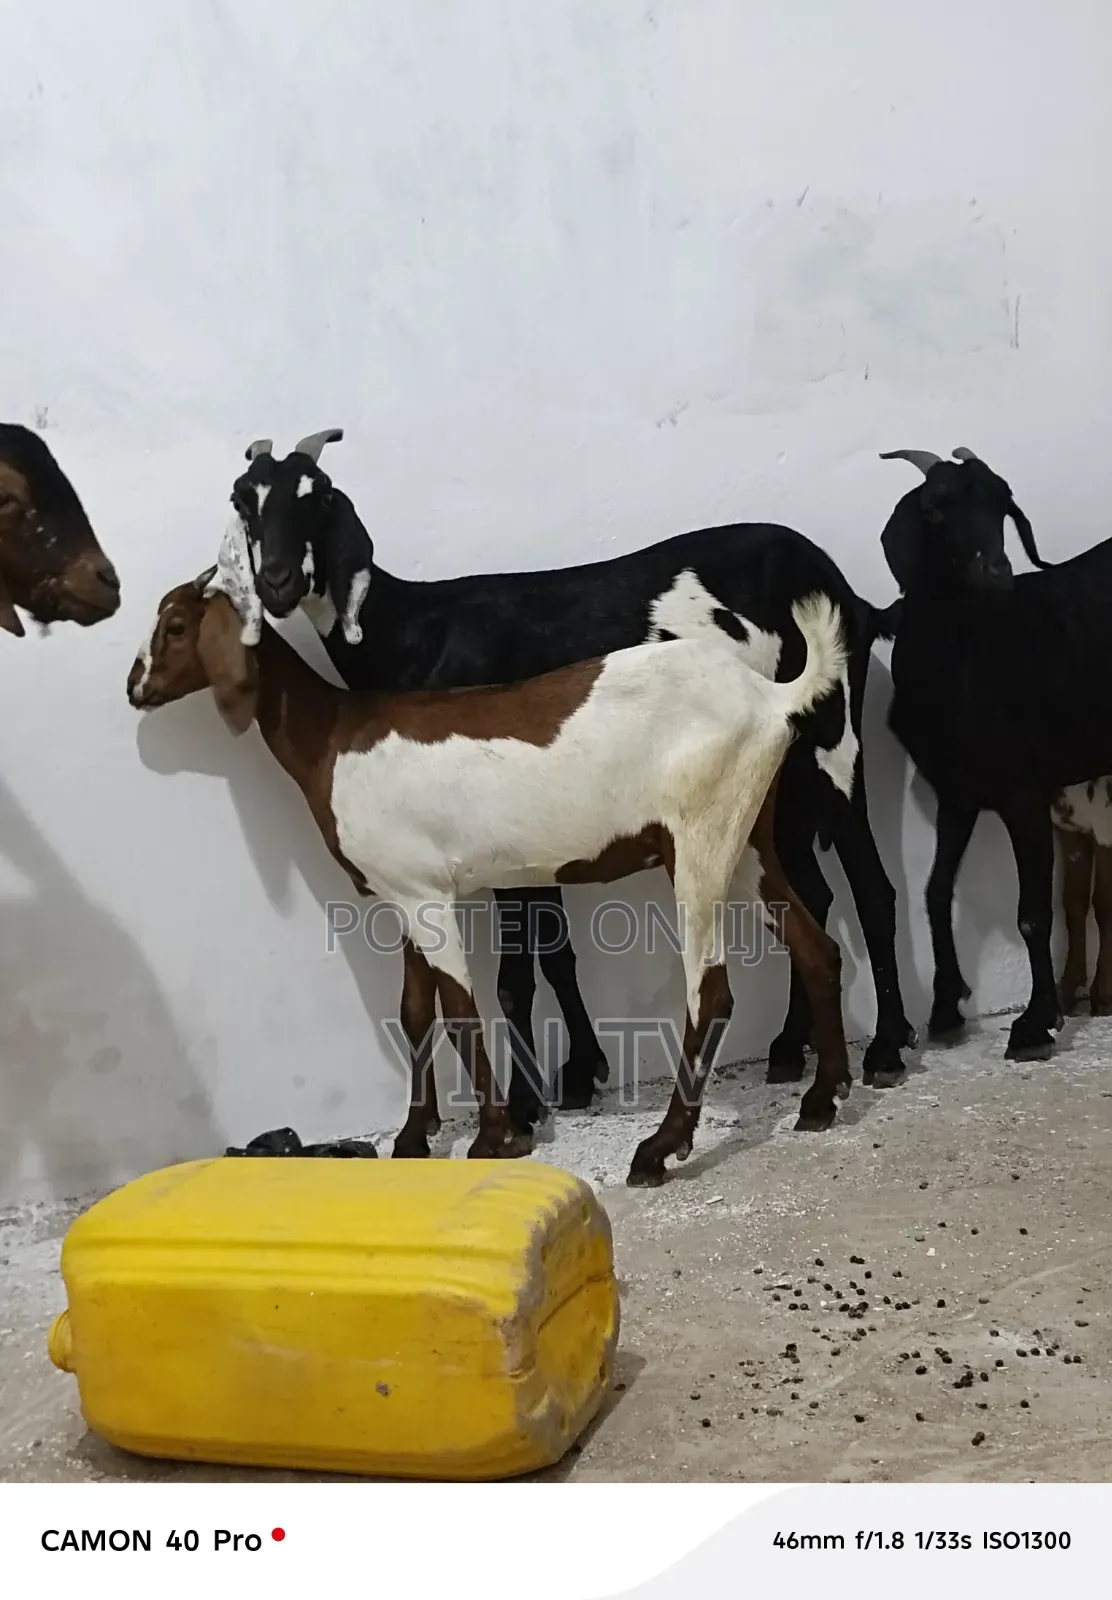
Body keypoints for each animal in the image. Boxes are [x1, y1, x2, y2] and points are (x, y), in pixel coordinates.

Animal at [128, 554, 852, 1186]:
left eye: (176, 625)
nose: (136, 687)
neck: (333, 736)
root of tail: (769, 696)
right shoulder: (399, 891)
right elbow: (413, 1011)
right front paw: (414, 1138)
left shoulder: (426, 896)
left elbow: (459, 1010)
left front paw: (494, 1137)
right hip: (748, 836)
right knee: (815, 947)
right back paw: (822, 1099)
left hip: (700, 835)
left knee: (713, 991)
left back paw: (659, 1148)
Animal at [219, 429, 913, 1137]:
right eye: (245, 500)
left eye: (318, 498)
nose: (276, 581)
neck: (416, 632)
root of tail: (850, 595)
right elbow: (555, 952)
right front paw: (579, 1073)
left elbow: (516, 976)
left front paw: (526, 1106)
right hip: (777, 781)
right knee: (814, 894)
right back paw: (791, 1050)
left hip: (833, 743)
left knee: (871, 886)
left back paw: (885, 1048)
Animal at [879, 443, 1112, 1060]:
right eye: (935, 508)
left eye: (1004, 504)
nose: (997, 572)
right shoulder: (956, 794)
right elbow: (936, 892)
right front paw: (944, 1008)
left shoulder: (1023, 793)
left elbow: (1032, 914)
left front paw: (1037, 1023)